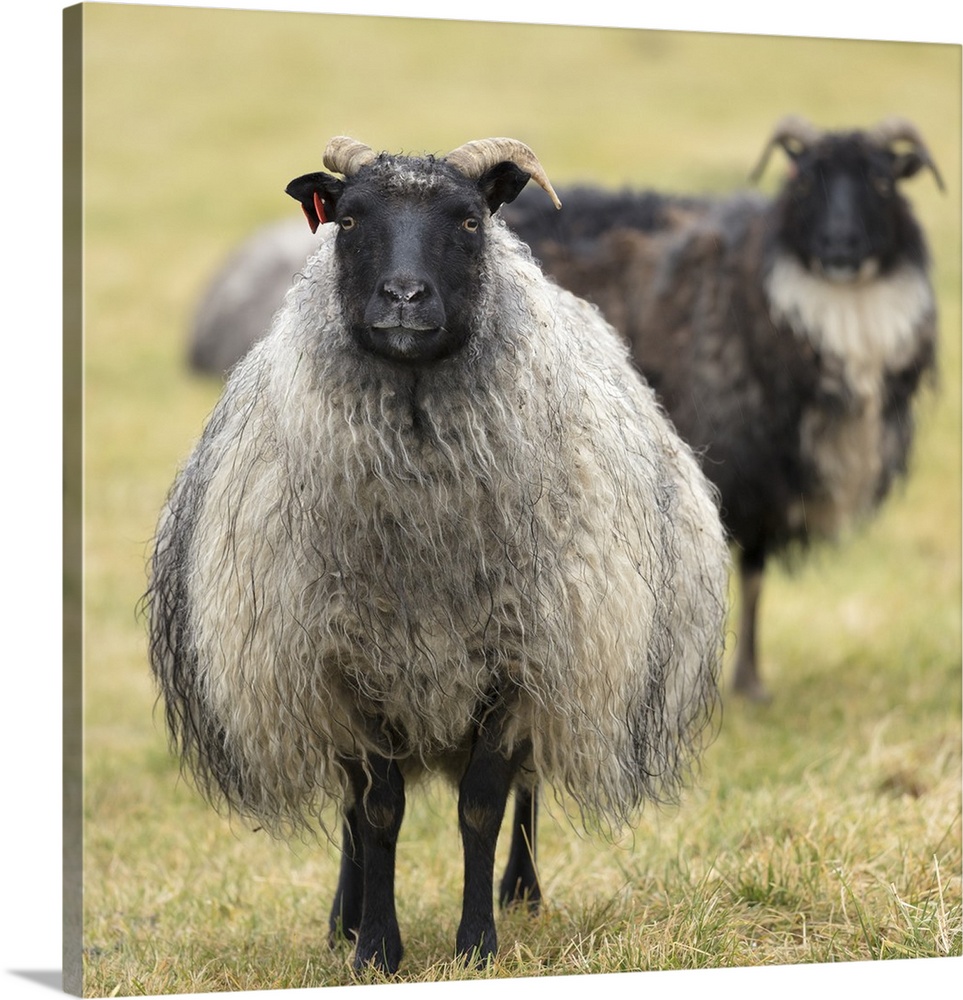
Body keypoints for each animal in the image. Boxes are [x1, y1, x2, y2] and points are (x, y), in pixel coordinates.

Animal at [147, 137, 728, 972]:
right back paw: (344, 916)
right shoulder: (346, 666)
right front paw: (374, 947)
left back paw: (521, 893)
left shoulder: (519, 662)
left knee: (525, 789)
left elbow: (482, 805)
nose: (403, 298)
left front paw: (477, 942)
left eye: (468, 219)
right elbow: (376, 812)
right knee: (353, 811)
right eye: (349, 218)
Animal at [500, 115, 944, 704]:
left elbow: (755, 574)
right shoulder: (737, 467)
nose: (839, 247)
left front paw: (751, 682)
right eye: (804, 183)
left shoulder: (771, 483)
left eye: (883, 182)